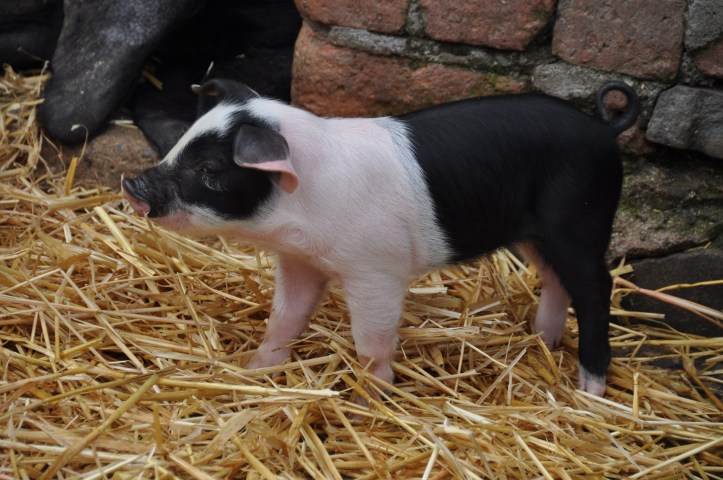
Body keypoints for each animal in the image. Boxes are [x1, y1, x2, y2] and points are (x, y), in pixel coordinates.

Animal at [123, 79, 639, 397]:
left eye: (210, 169)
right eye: (180, 143)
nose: (133, 186)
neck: (301, 208)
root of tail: (603, 127)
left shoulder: (376, 271)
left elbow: (370, 341)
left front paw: (367, 399)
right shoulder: (301, 262)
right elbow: (284, 319)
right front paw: (255, 372)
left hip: (580, 220)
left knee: (596, 291)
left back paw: (590, 391)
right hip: (535, 232)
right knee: (556, 280)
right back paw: (541, 340)